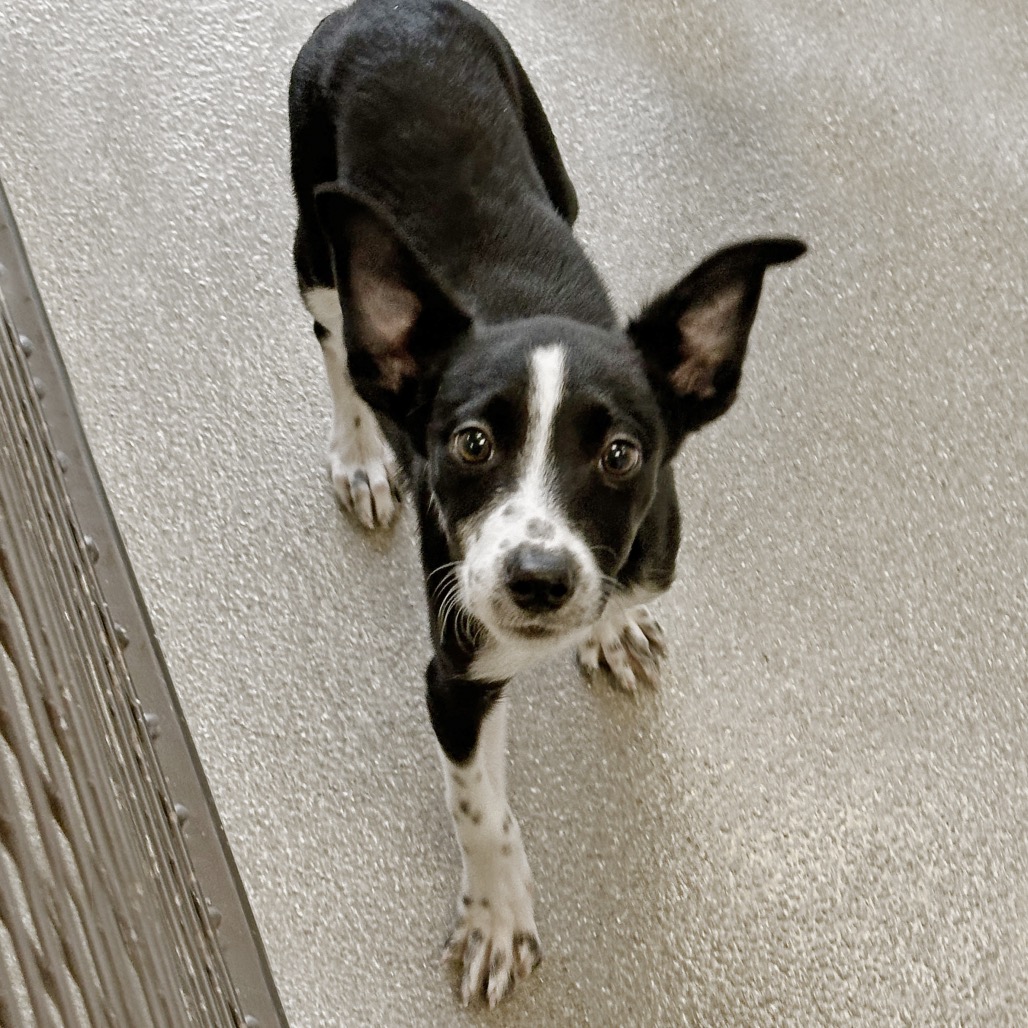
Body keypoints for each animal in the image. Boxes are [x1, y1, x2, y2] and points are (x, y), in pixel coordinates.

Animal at [289, 0, 805, 1007]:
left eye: (620, 455)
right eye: (470, 444)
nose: (537, 581)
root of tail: (385, 8)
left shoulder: (649, 550)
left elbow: (628, 595)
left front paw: (612, 628)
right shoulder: (453, 674)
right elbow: (480, 810)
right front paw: (497, 921)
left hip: (549, 155)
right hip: (314, 237)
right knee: (337, 344)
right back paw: (363, 456)